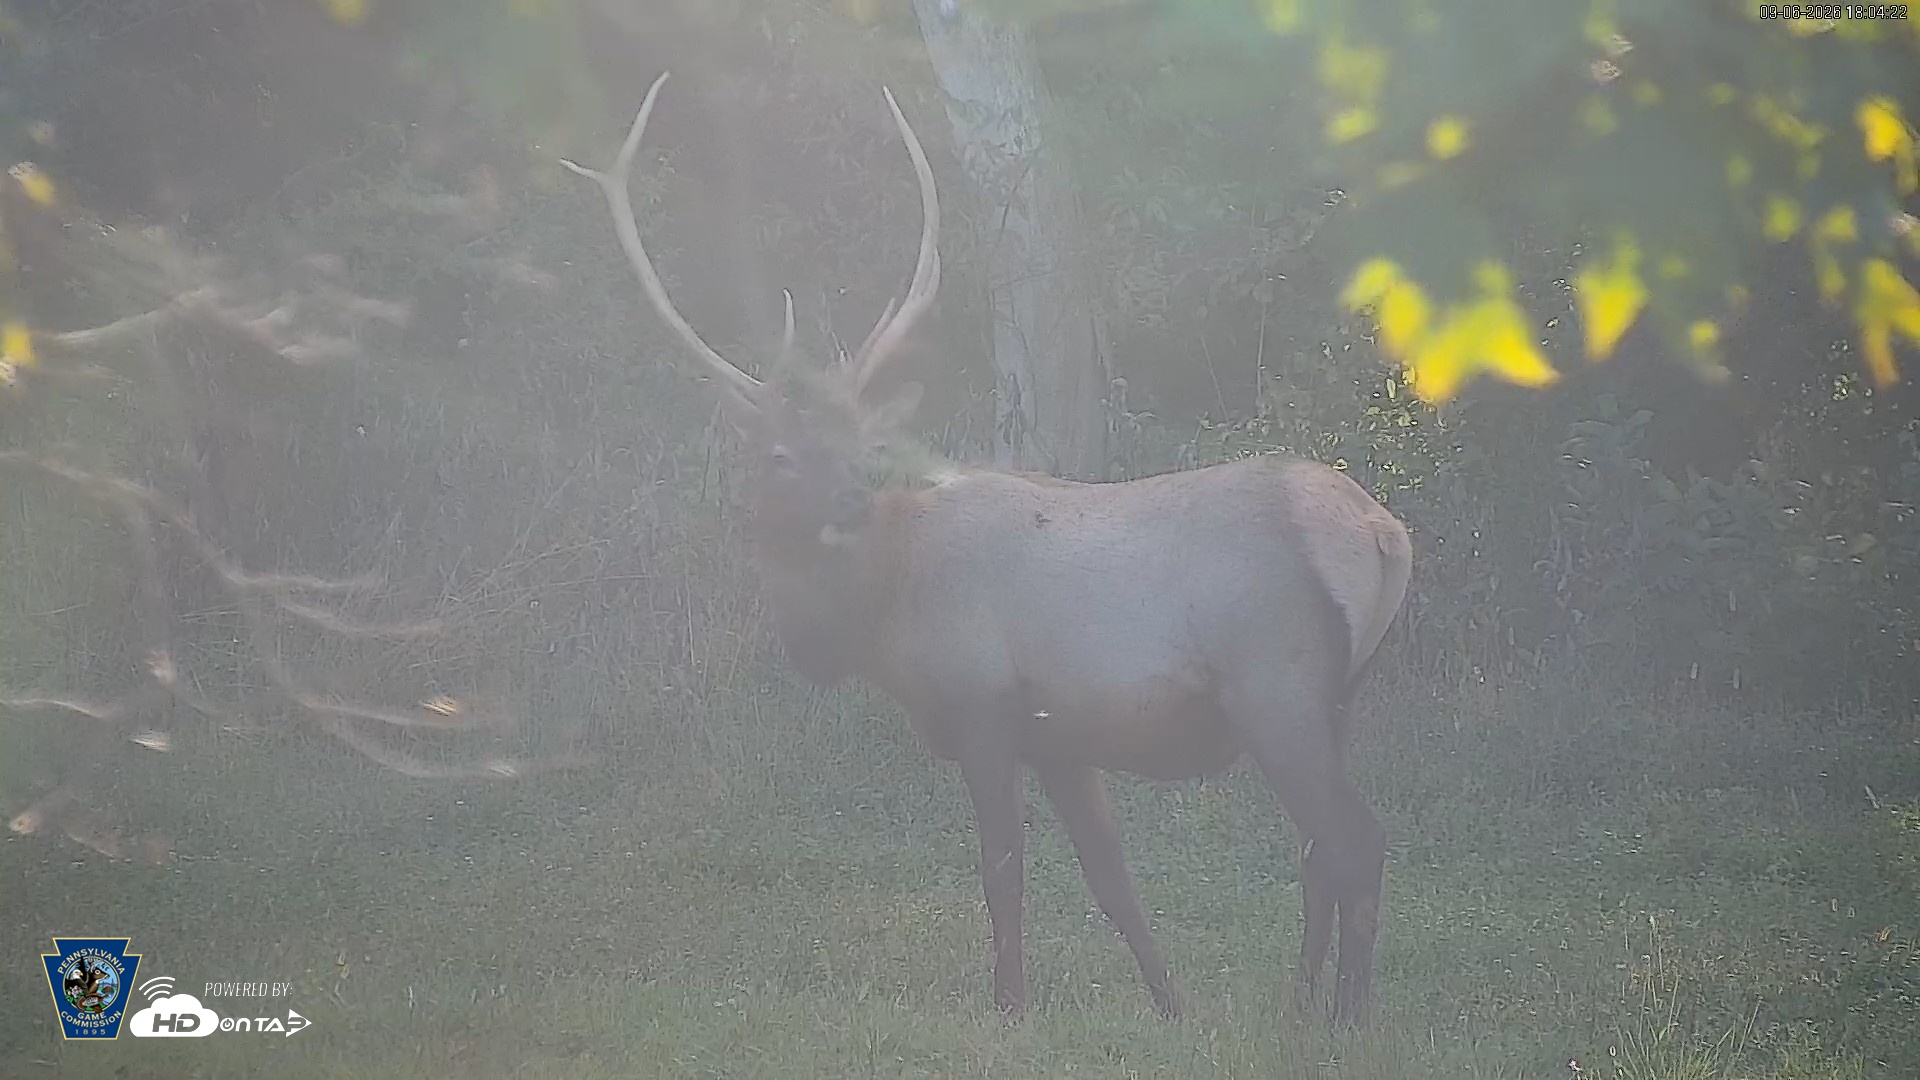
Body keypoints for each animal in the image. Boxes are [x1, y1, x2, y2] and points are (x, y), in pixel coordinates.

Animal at [562, 70, 1413, 1025]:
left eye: (857, 446)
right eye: (780, 454)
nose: (847, 504)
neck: (880, 618)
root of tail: (1385, 535)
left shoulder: (984, 707)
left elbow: (1003, 873)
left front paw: (1009, 1006)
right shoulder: (1061, 739)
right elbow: (1112, 879)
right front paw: (1172, 1005)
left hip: (1277, 685)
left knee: (1355, 841)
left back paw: (1346, 1018)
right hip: (1333, 701)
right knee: (1318, 852)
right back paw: (1300, 1003)